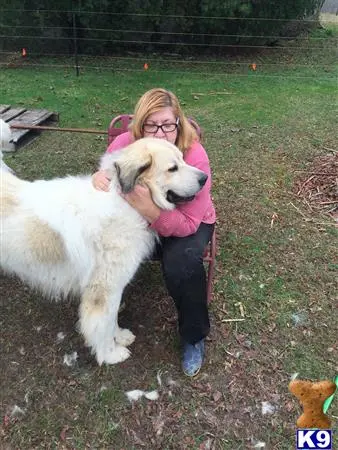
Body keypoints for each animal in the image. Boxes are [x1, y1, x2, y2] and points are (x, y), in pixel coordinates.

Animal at [0, 138, 207, 366]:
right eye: (173, 168)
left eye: (183, 159)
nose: (205, 178)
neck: (127, 203)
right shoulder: (105, 290)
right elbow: (103, 324)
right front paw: (110, 353)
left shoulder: (113, 289)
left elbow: (112, 319)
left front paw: (120, 337)